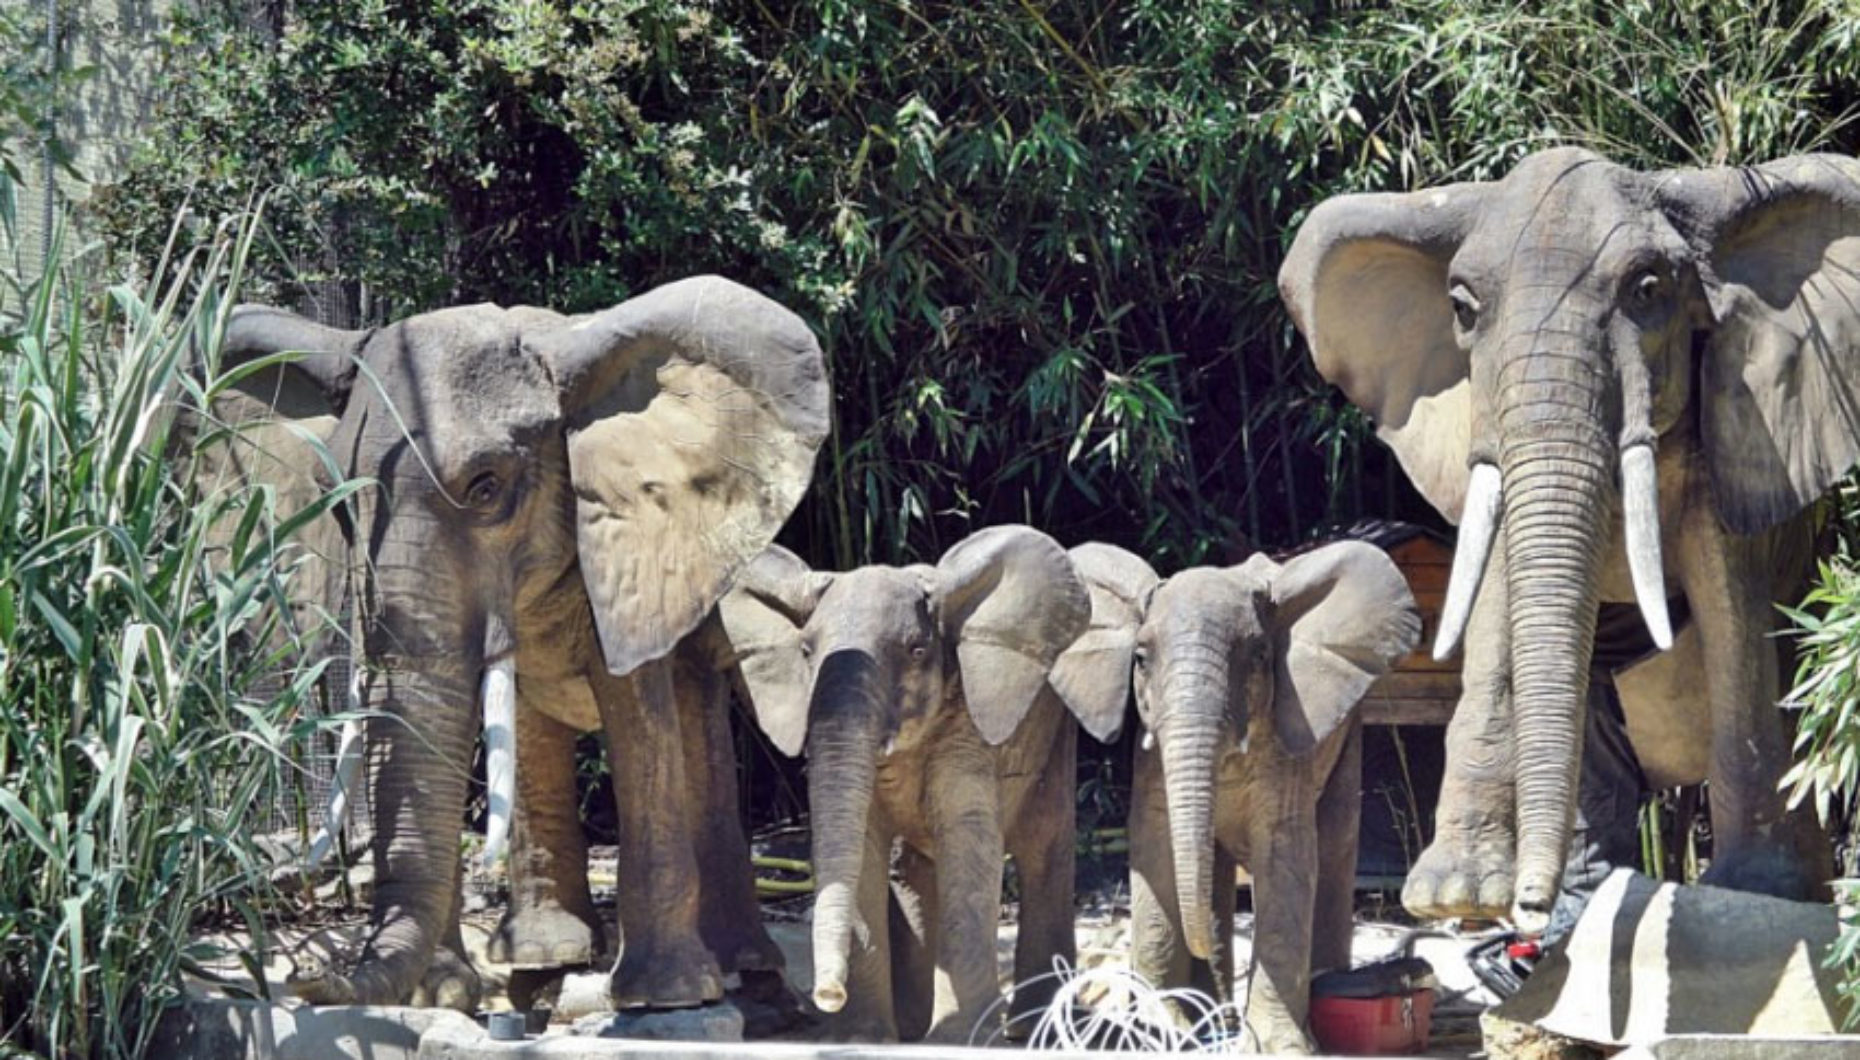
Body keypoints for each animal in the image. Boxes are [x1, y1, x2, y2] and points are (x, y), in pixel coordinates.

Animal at [717, 524, 1093, 1033]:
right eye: (805, 651)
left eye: (917, 651)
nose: (826, 995)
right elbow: (863, 846)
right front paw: (863, 1036)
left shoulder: (966, 728)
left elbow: (969, 839)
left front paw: (959, 1039)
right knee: (910, 872)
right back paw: (914, 1027)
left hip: (1055, 736)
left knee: (1043, 849)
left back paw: (1035, 1029)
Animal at [1056, 539, 1413, 1048]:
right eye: (1140, 658)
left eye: (1261, 655)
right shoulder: (1152, 752)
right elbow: (1154, 843)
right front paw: (1159, 1031)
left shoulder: (1287, 740)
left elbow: (1285, 851)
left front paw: (1281, 1047)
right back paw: (1215, 1015)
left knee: (1334, 844)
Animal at [1279, 146, 1860, 922]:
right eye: (1462, 310)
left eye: (1648, 289)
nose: (1525, 909)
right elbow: (1495, 606)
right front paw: (1457, 896)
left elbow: (1734, 613)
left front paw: (1760, 891)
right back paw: (1590, 891)